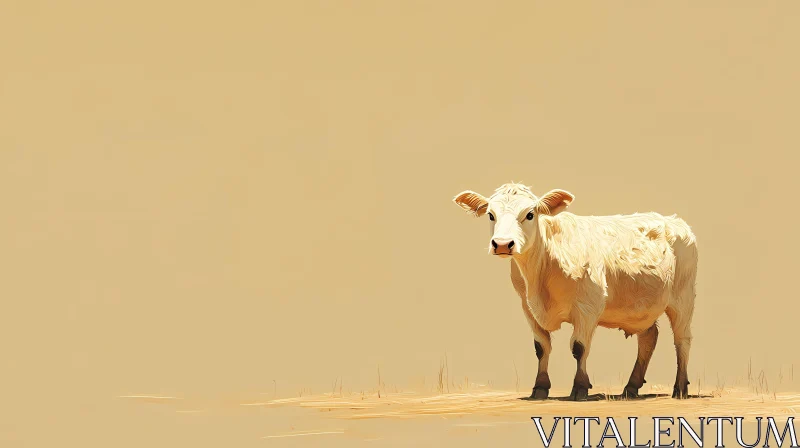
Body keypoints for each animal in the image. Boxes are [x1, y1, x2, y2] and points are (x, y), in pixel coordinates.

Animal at [452, 183, 697, 401]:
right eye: (490, 215)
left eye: (530, 214)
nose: (503, 244)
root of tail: (675, 221)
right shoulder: (527, 307)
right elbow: (541, 347)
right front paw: (539, 388)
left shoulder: (588, 306)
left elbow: (579, 347)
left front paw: (580, 388)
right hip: (640, 308)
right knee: (648, 338)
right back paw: (631, 387)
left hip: (683, 298)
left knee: (682, 339)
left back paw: (680, 388)